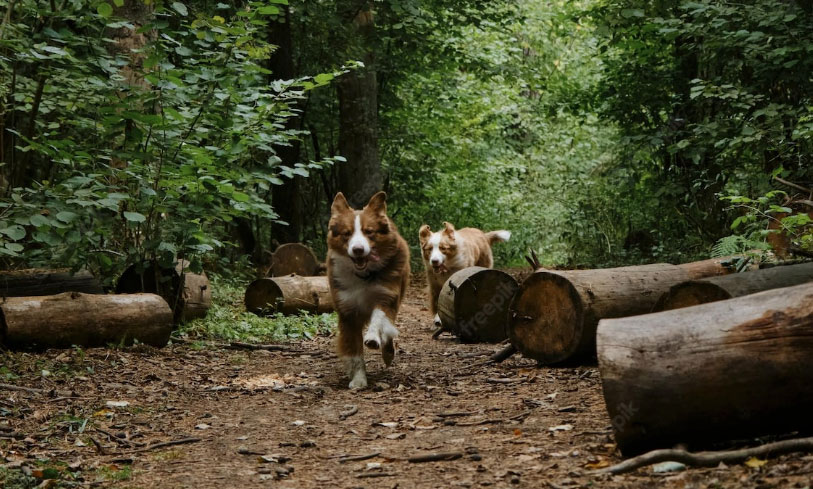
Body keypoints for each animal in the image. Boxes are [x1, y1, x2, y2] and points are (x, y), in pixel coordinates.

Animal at [326, 191, 410, 388]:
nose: (358, 249)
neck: (363, 277)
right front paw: (358, 380)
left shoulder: (387, 297)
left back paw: (387, 351)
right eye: (347, 233)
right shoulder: (347, 311)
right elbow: (354, 351)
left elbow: (379, 318)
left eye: (369, 232)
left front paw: (372, 338)